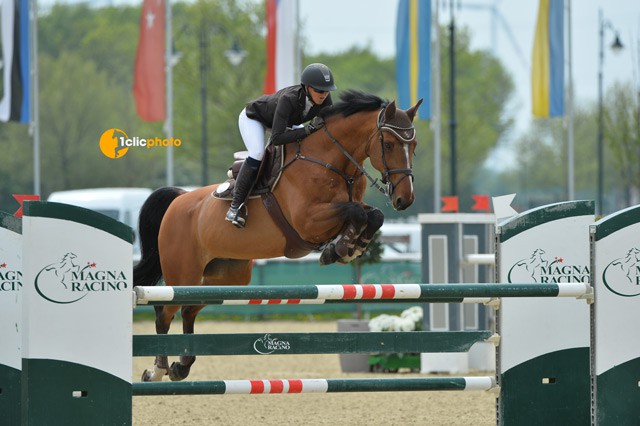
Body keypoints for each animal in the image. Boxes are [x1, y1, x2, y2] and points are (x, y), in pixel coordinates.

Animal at [133, 90, 422, 382]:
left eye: (414, 145)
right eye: (388, 144)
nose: (405, 200)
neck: (331, 161)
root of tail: (179, 200)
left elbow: (373, 215)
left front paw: (352, 246)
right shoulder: (309, 221)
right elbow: (357, 213)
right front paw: (340, 249)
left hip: (227, 277)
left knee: (189, 308)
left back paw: (181, 365)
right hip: (184, 273)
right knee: (165, 311)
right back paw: (157, 370)